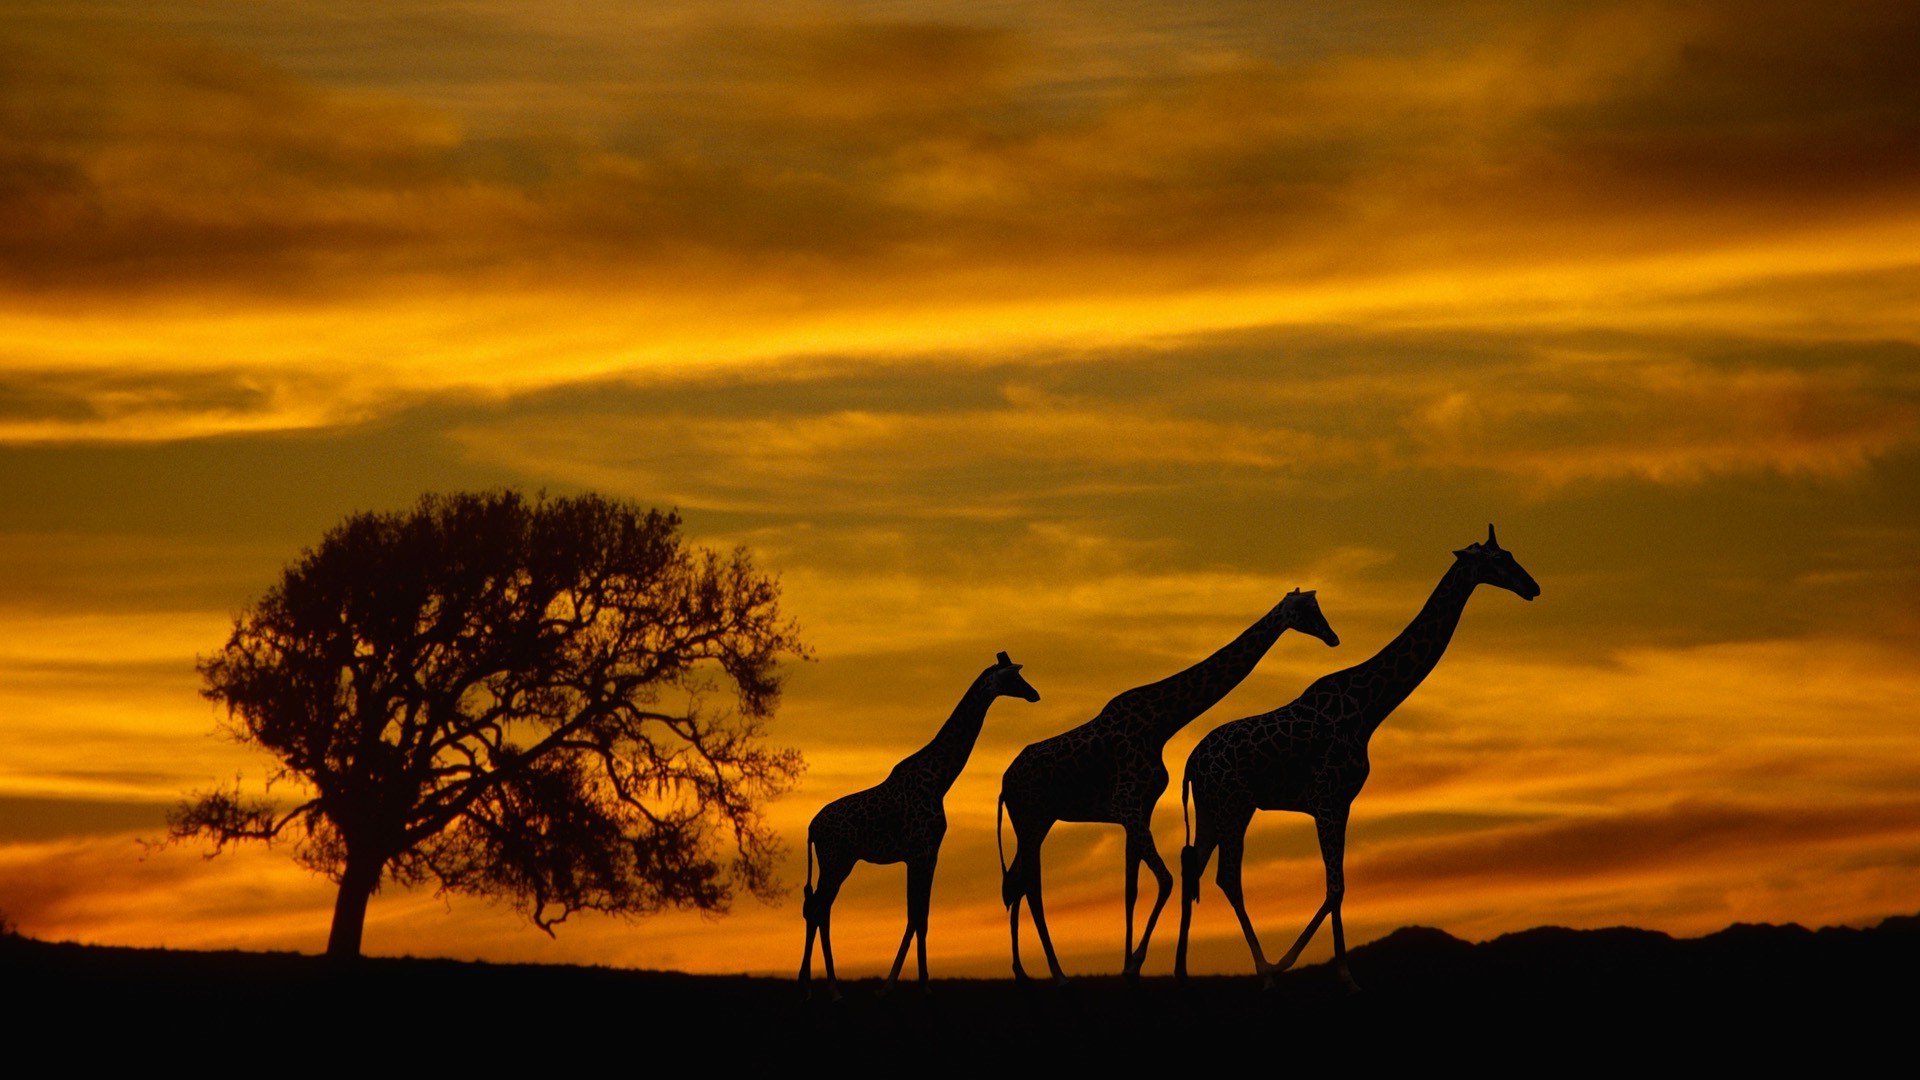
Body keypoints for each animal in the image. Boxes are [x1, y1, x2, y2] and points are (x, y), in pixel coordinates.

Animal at [798, 652, 1039, 1000]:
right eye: (1014, 677)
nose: (1034, 694)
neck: (940, 780)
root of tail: (811, 828)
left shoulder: (928, 854)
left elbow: (920, 916)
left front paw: (914, 983)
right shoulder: (920, 852)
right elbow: (916, 916)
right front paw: (905, 985)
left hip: (838, 862)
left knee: (818, 908)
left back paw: (817, 986)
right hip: (836, 860)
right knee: (818, 908)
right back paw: (825, 988)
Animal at [997, 589, 1339, 983]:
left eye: (1318, 607)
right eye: (1306, 611)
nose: (1333, 637)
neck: (1161, 723)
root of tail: (1004, 784)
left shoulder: (1137, 810)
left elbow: (1131, 889)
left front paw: (1127, 965)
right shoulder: (1128, 806)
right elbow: (1165, 881)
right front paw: (1134, 963)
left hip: (1037, 822)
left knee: (1017, 882)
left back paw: (1022, 971)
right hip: (1030, 820)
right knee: (1029, 886)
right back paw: (1053, 972)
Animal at [1173, 526, 1539, 990]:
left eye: (1509, 553)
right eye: (1497, 560)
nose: (1533, 587)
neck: (1369, 710)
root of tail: (1191, 763)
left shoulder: (1343, 803)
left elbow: (1340, 886)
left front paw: (1341, 973)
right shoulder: (1327, 800)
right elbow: (1335, 887)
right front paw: (1326, 971)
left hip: (1212, 807)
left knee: (1194, 867)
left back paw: (1182, 974)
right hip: (1235, 804)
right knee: (1226, 876)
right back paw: (1265, 972)